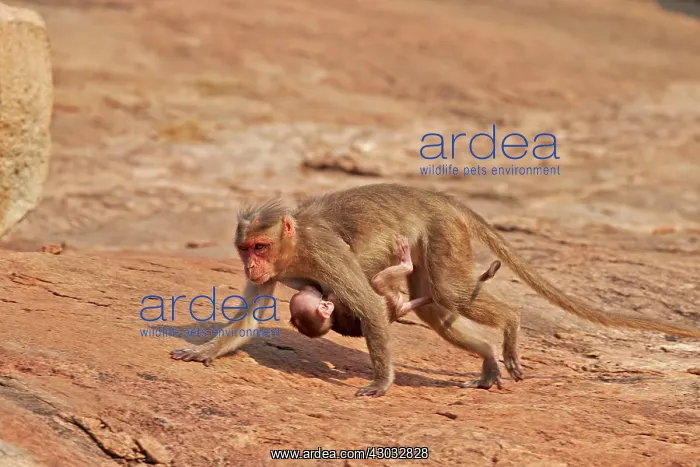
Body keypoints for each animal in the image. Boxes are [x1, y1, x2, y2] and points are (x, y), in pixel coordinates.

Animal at [171, 183, 700, 397]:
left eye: (259, 246)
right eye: (245, 249)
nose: (252, 263)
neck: (295, 245)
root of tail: (441, 199)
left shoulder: (323, 252)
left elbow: (368, 306)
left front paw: (382, 383)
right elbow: (248, 319)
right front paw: (204, 352)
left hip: (442, 233)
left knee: (451, 294)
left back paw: (510, 328)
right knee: (438, 309)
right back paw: (488, 361)